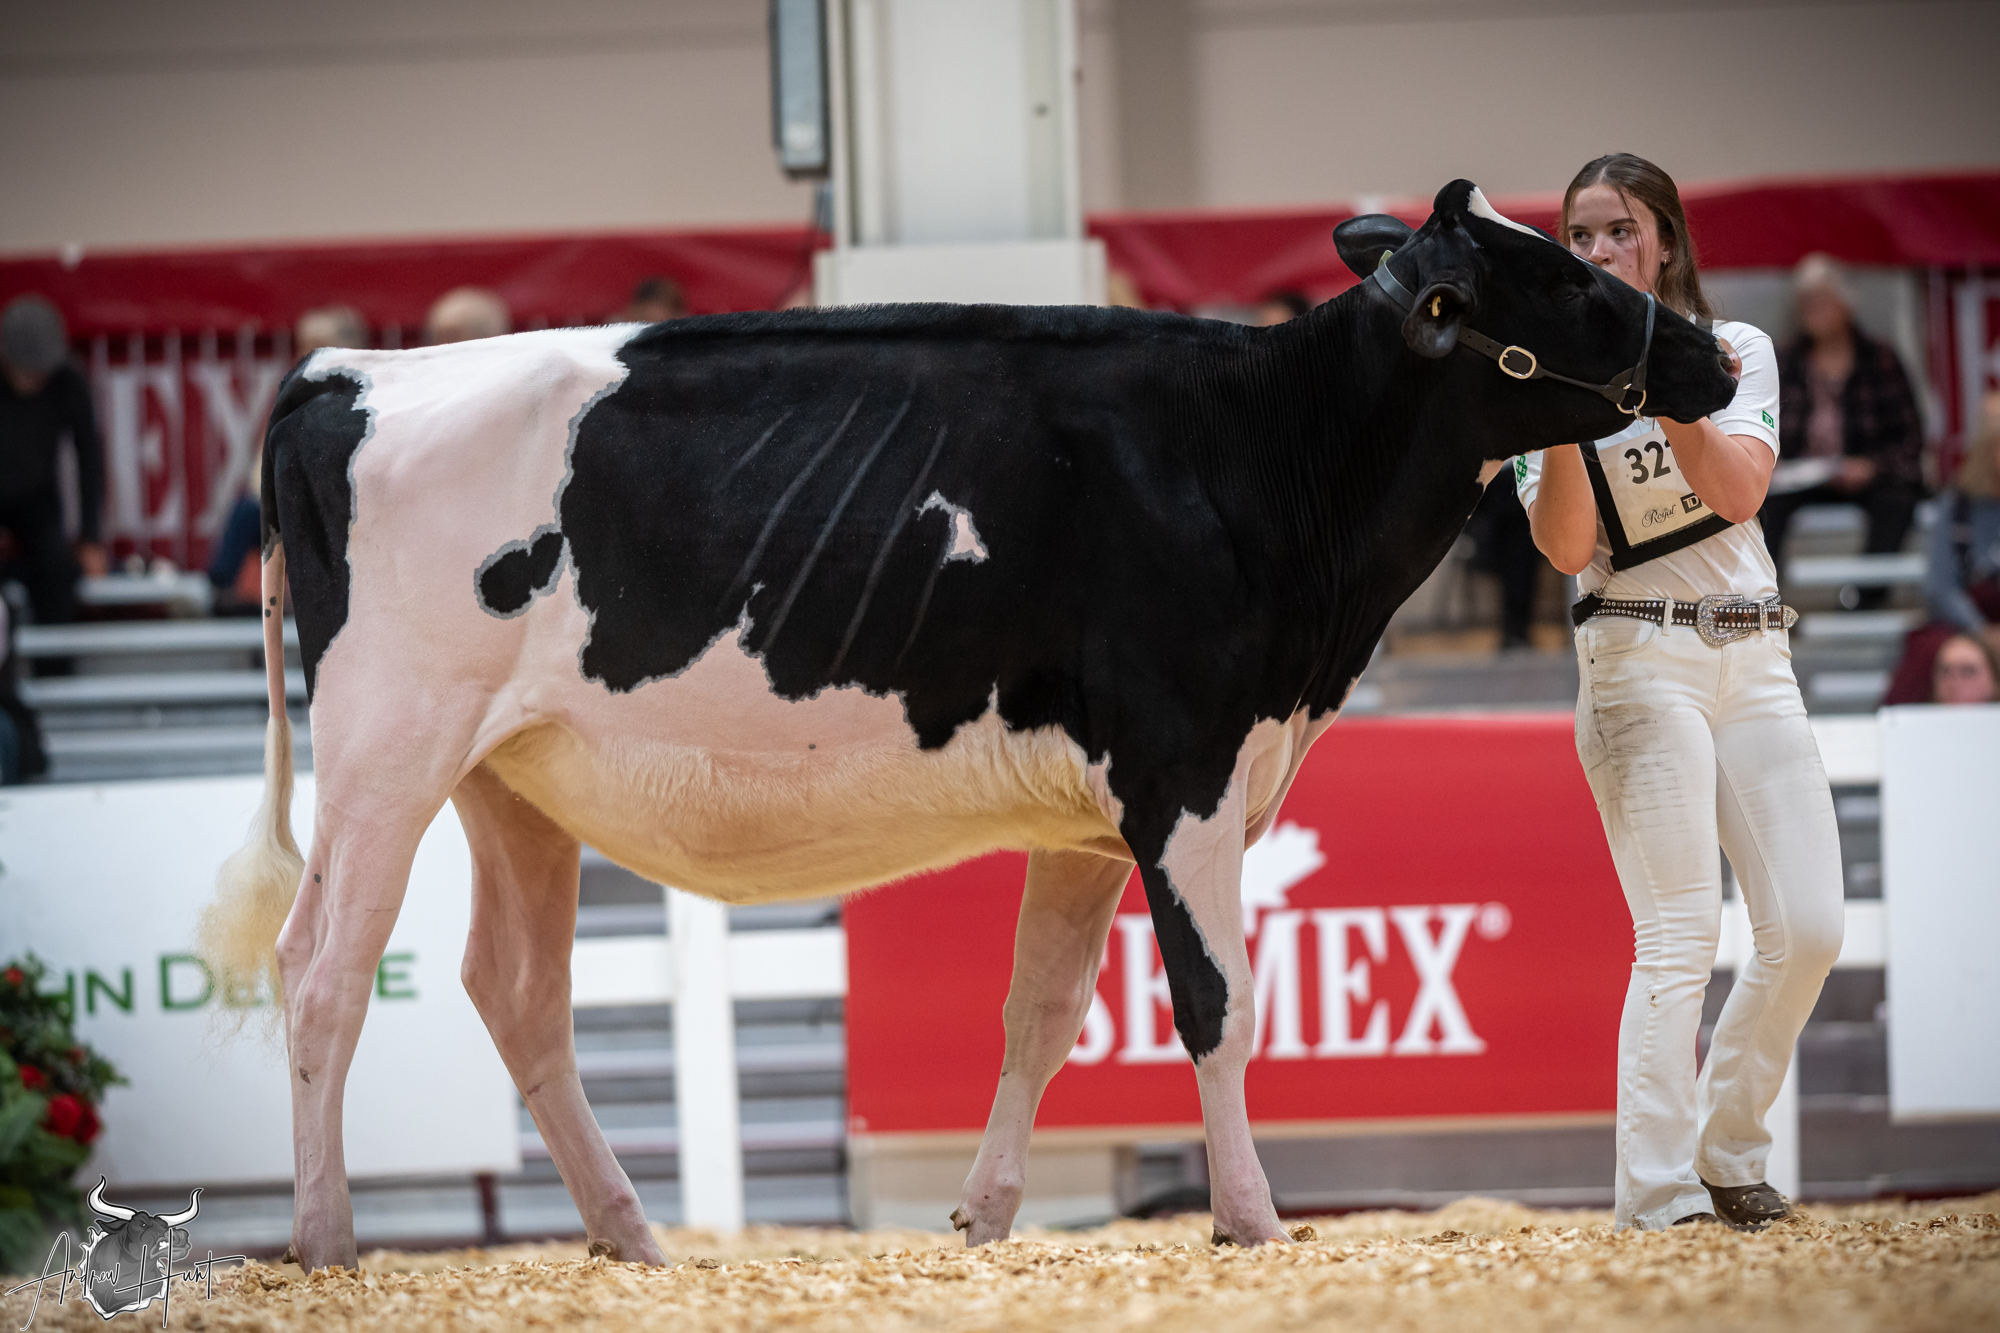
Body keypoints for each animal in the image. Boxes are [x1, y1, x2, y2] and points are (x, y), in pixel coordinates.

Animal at [200, 180, 1735, 1271]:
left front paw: (986, 1217)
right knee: (323, 970)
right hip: (387, 751)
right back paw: (326, 1243)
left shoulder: (1098, 812)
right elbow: (1217, 1003)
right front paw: (1251, 1220)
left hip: (510, 778)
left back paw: (632, 1237)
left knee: (517, 991)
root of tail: (348, 372)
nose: (1712, 355)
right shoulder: (1184, 770)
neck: (1257, 457)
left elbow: (1041, 1012)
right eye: (1563, 276)